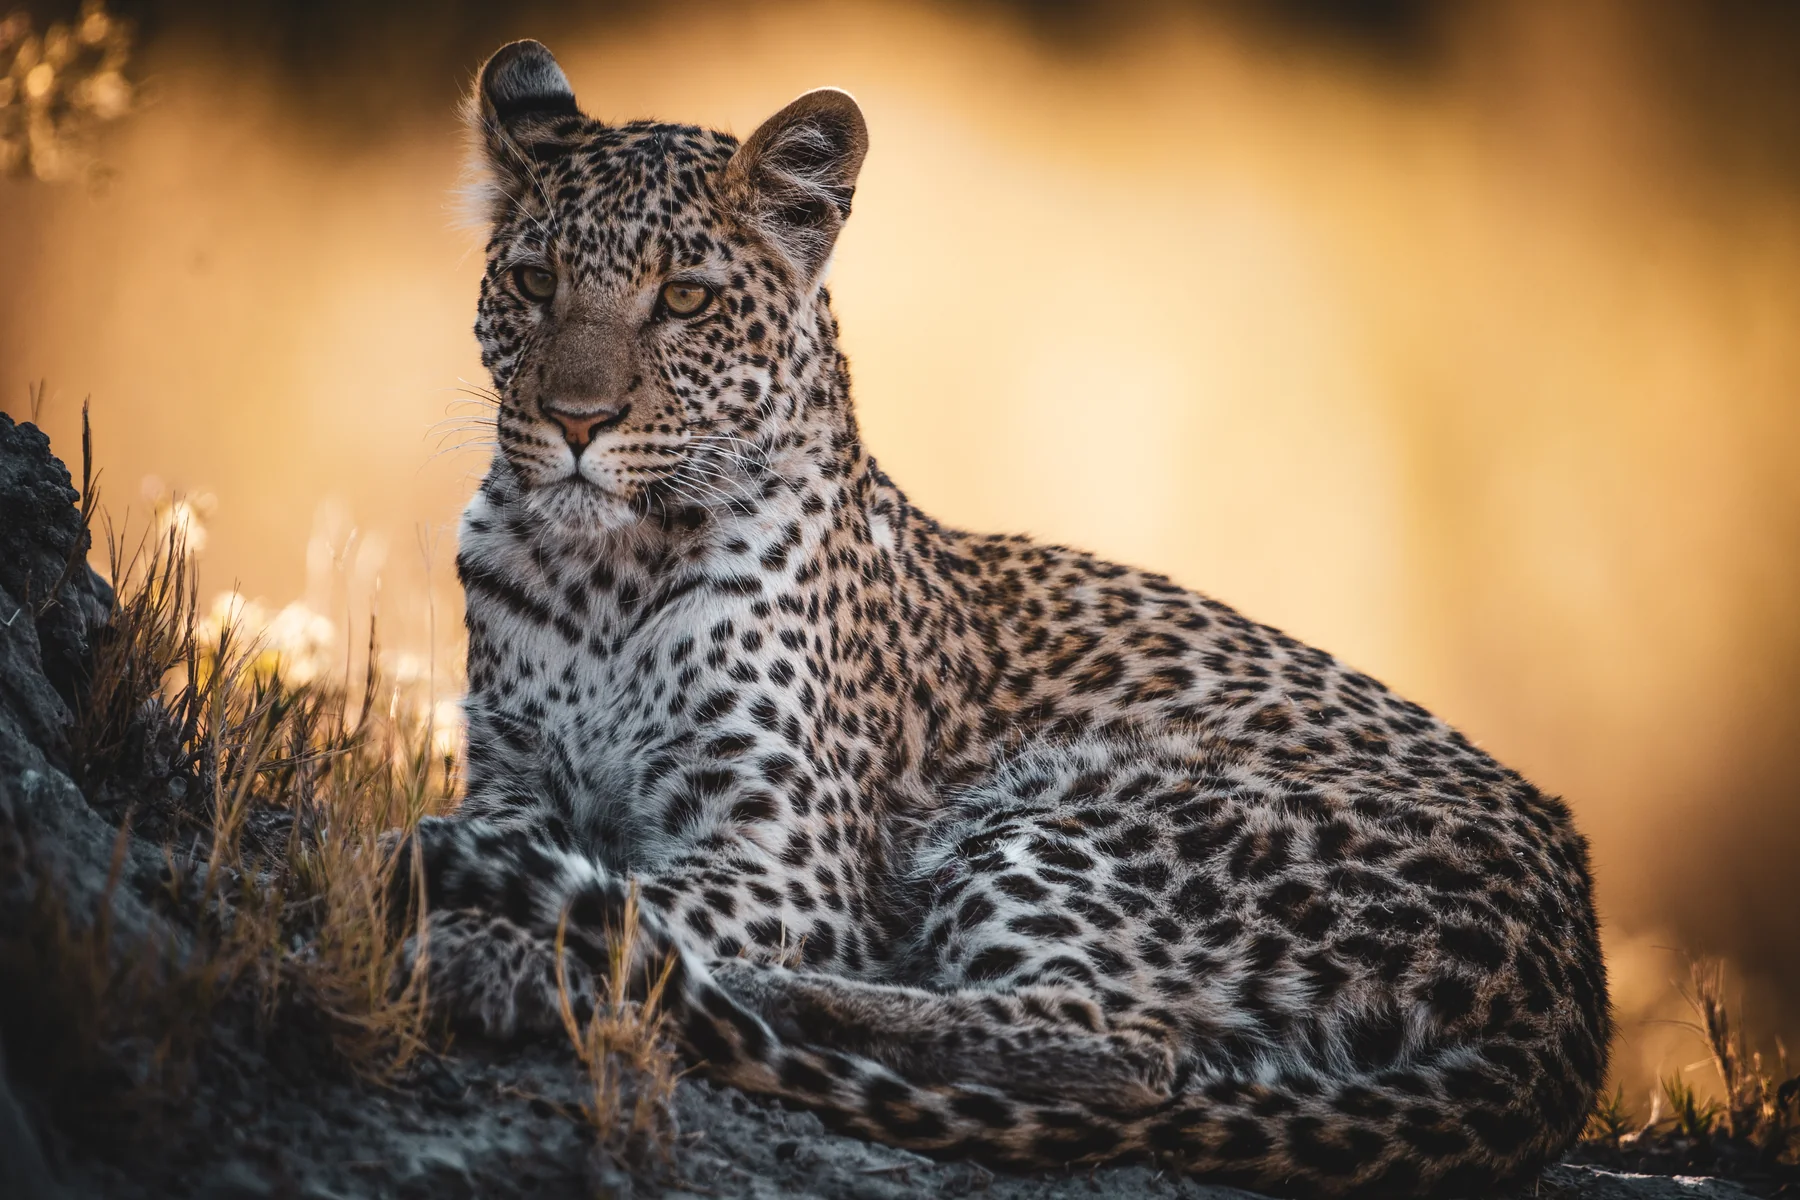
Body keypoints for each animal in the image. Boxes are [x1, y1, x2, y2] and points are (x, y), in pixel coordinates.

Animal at [397, 38, 1610, 1198]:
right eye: (534, 282)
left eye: (685, 300)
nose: (576, 420)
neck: (597, 573)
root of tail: (1573, 1004)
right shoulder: (513, 779)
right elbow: (543, 843)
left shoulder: (791, 863)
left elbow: (644, 893)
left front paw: (488, 926)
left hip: (1082, 803)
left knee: (1120, 1049)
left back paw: (665, 982)